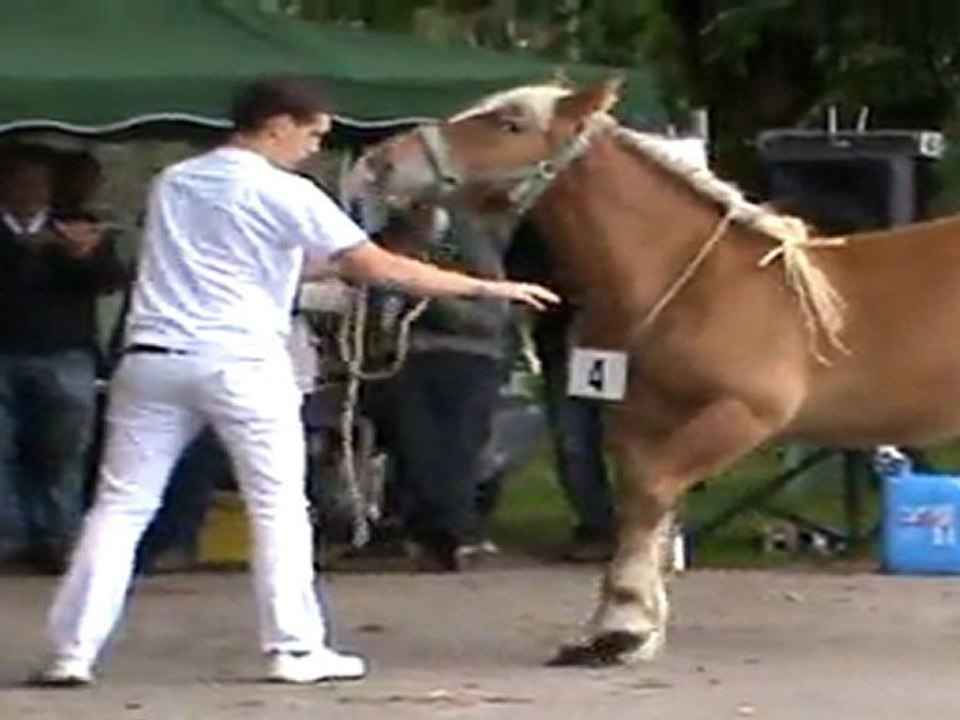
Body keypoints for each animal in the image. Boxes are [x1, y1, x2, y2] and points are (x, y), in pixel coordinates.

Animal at [349, 78, 960, 666]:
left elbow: (651, 492)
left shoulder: (741, 416)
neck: (697, 283)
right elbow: (647, 507)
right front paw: (617, 628)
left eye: (511, 123)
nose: (381, 162)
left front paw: (624, 628)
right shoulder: (639, 419)